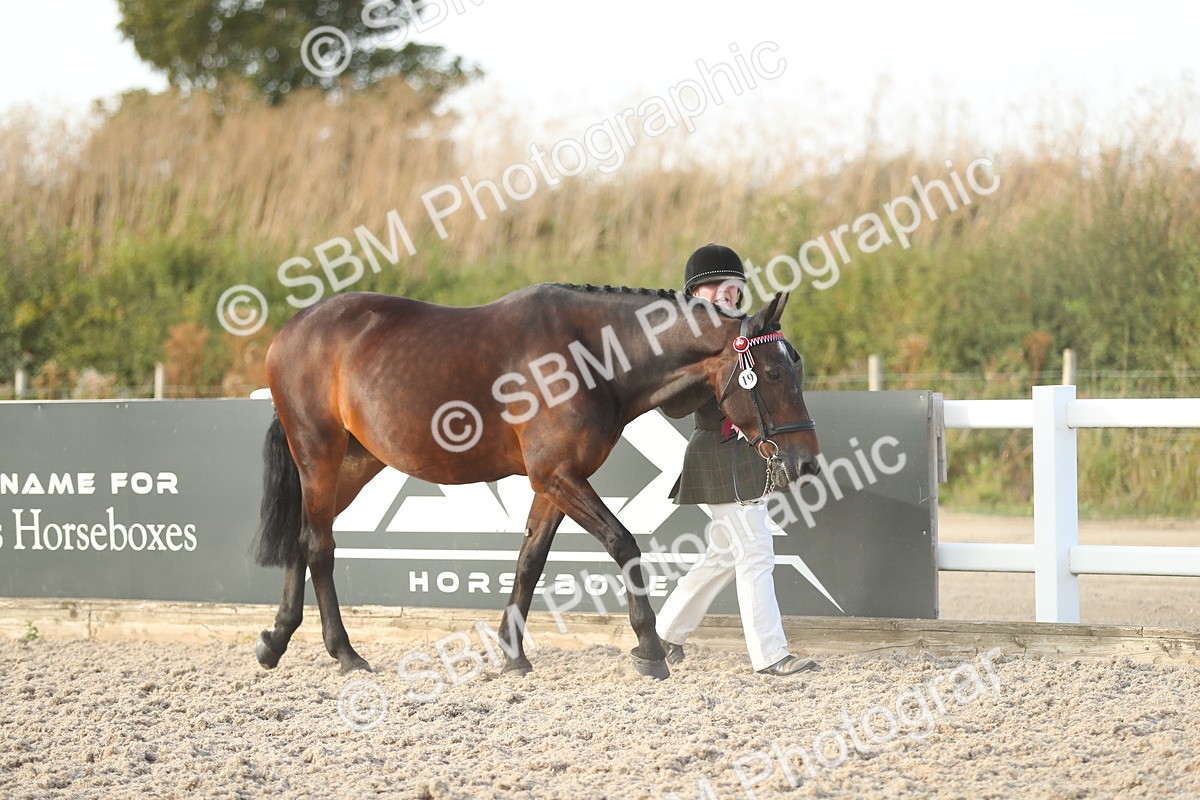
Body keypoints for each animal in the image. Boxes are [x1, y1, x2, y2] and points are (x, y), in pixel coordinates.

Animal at [251, 283, 821, 679]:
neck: (586, 354)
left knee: (304, 539)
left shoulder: (552, 482)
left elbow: (530, 560)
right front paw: (651, 649)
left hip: (354, 463)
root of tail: (293, 328)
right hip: (318, 453)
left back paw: (276, 641)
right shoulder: (557, 474)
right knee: (319, 546)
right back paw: (345, 653)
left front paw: (514, 656)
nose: (807, 463)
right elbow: (623, 543)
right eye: (773, 374)